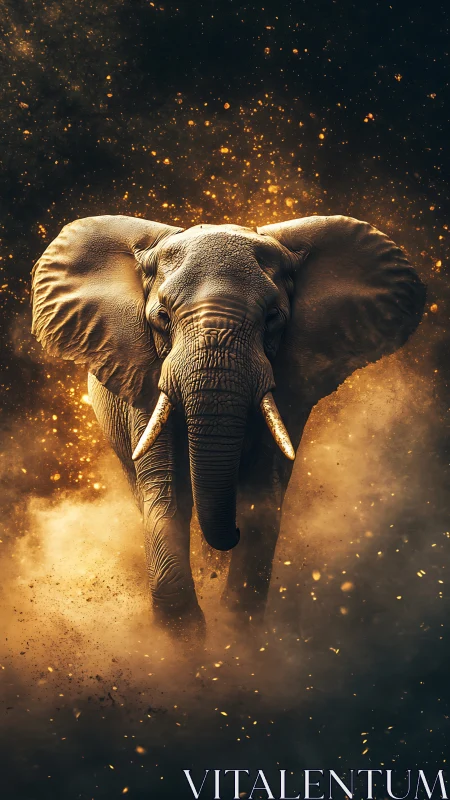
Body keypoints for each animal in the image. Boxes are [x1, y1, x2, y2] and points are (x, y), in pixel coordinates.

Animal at [31, 214, 426, 638]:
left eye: (273, 319)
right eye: (161, 318)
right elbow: (166, 495)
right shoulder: (144, 375)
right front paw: (186, 643)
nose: (232, 534)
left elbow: (263, 494)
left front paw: (237, 638)